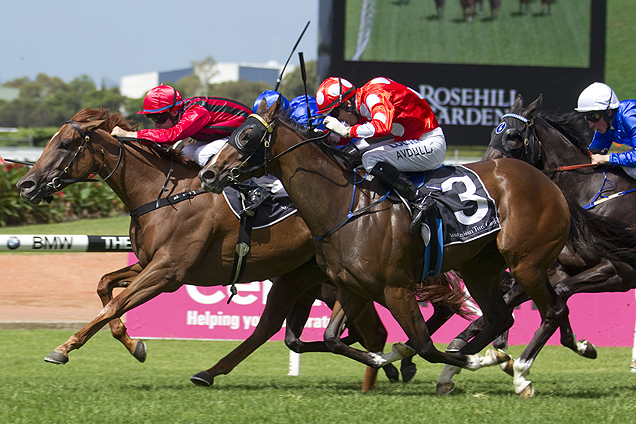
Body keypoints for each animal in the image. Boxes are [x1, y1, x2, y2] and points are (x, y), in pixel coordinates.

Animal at [16, 107, 408, 392]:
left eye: (65, 144)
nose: (25, 184)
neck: (164, 194)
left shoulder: (168, 271)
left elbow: (114, 304)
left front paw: (63, 349)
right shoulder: (149, 263)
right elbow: (104, 286)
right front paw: (134, 344)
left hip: (339, 278)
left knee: (371, 330)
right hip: (309, 277)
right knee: (295, 329)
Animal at [198, 100, 592, 398]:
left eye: (247, 135)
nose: (208, 174)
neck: (345, 207)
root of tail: (549, 182)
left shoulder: (397, 288)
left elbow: (425, 346)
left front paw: (481, 360)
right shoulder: (353, 286)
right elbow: (333, 338)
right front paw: (390, 359)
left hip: (526, 263)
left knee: (553, 310)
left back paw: (521, 371)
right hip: (480, 267)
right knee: (500, 317)